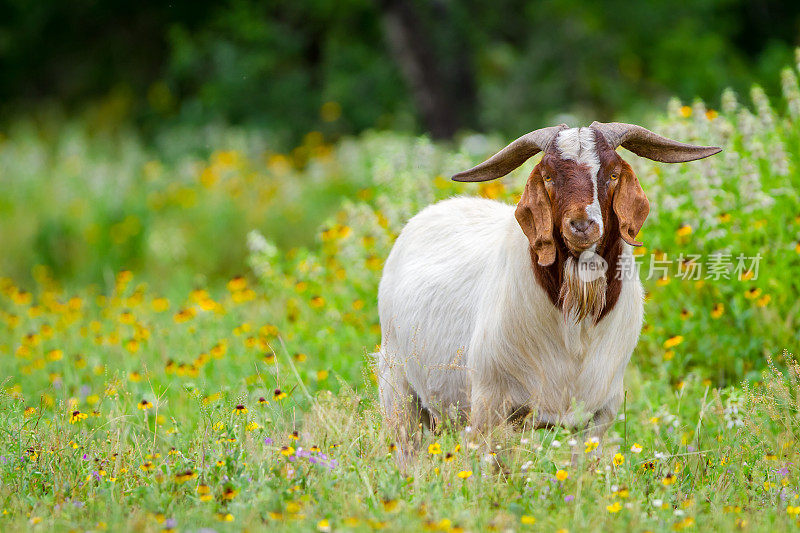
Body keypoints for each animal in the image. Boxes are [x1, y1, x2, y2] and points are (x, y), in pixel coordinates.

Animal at [378, 120, 720, 462]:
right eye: (548, 176)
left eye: (612, 173)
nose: (581, 225)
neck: (574, 329)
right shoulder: (490, 406)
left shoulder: (600, 413)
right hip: (397, 390)